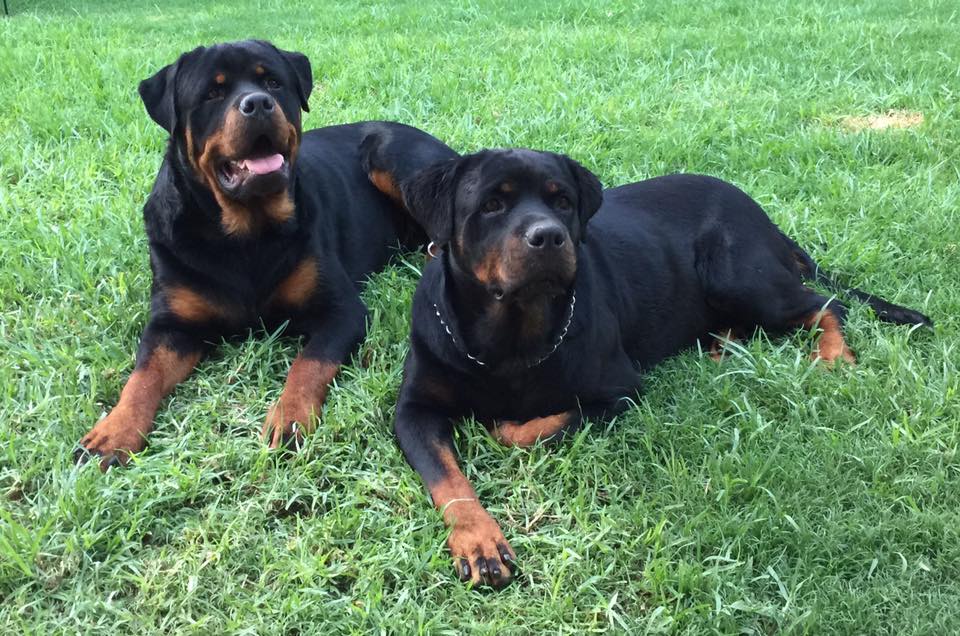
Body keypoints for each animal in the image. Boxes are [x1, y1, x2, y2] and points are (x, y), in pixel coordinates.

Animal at [73, 38, 456, 468]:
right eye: (212, 93)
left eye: (273, 82)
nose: (257, 103)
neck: (245, 233)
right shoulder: (171, 325)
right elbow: (143, 375)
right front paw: (114, 430)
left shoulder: (341, 311)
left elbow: (309, 364)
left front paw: (290, 417)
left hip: (390, 154)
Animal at [370, 147, 936, 588]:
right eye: (491, 204)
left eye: (562, 201)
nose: (548, 236)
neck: (510, 333)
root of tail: (761, 214)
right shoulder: (414, 410)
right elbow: (448, 480)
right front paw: (480, 541)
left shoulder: (618, 390)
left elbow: (529, 429)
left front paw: (502, 427)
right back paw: (721, 348)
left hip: (740, 276)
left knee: (825, 304)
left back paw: (834, 355)